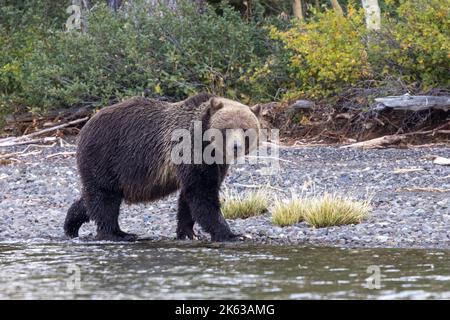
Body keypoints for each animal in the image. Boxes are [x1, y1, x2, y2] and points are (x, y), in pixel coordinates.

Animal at [62, 92, 260, 242]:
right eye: (226, 129)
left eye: (245, 129)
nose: (236, 147)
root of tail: (84, 127)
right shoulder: (190, 149)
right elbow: (202, 194)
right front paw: (232, 234)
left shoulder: (216, 163)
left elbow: (189, 197)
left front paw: (188, 233)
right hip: (105, 156)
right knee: (105, 197)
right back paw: (118, 234)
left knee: (92, 198)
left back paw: (71, 224)